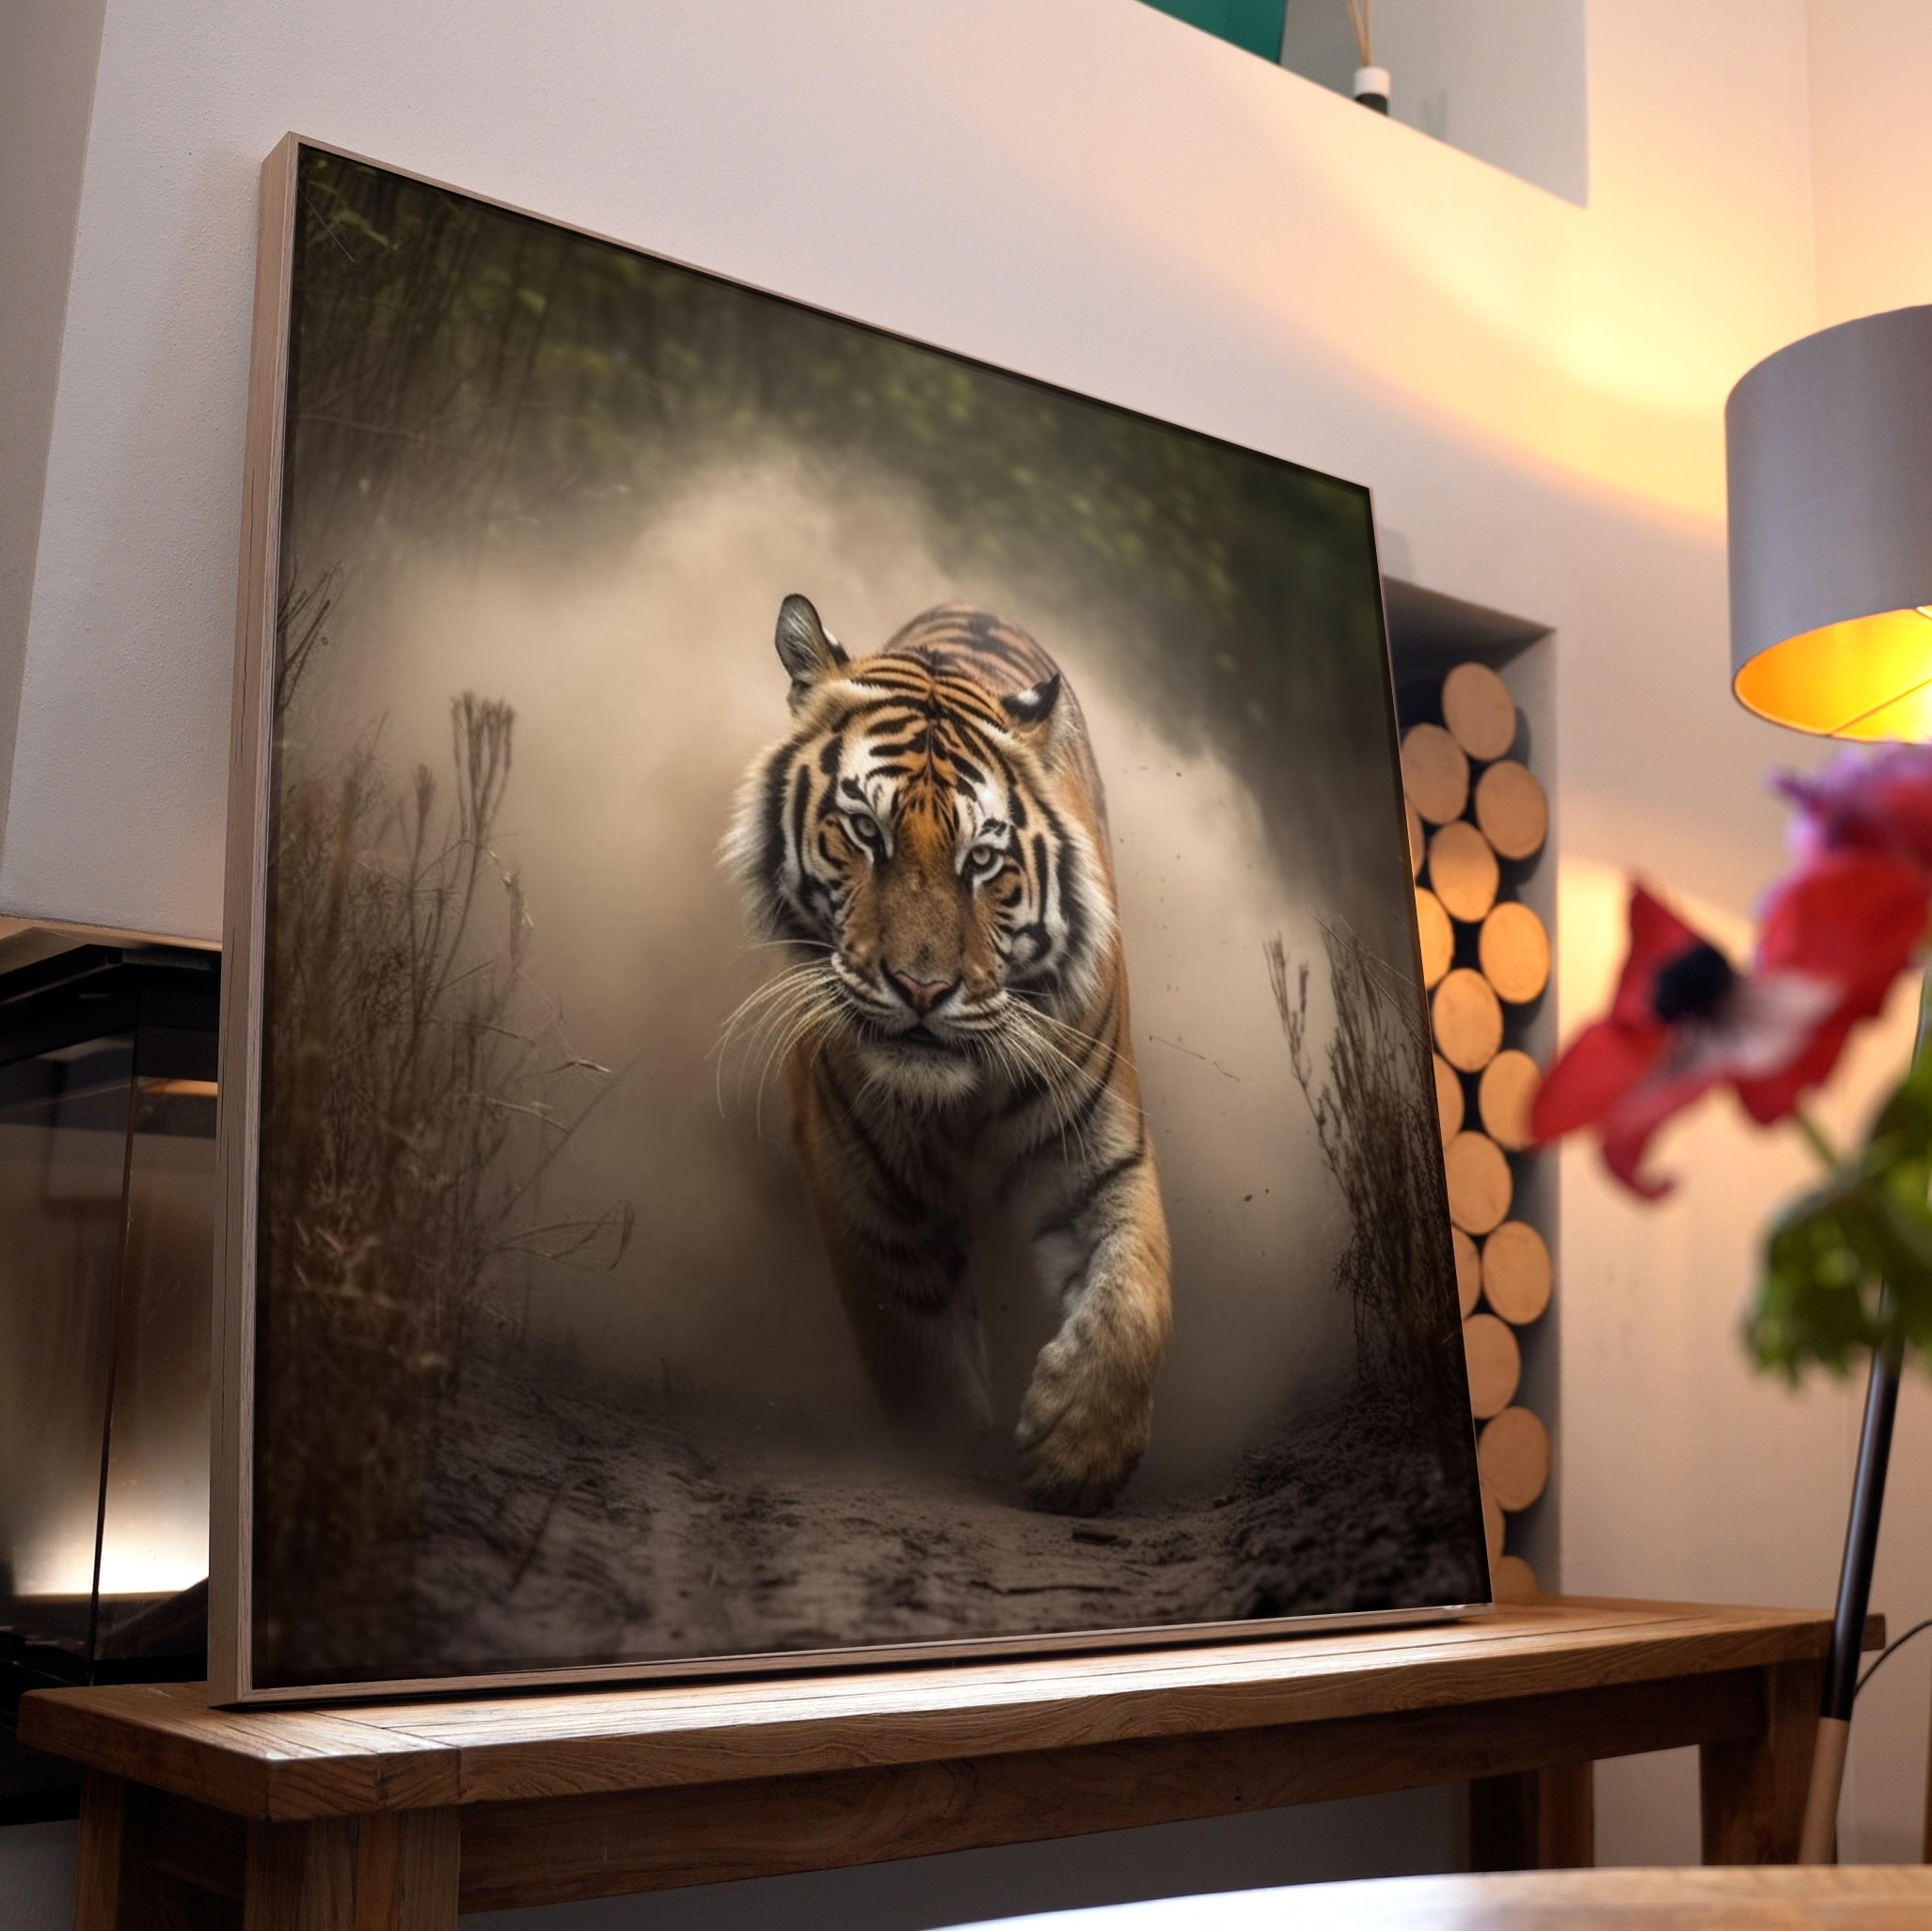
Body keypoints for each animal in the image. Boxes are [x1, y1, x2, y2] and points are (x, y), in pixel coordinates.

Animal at [722, 595, 1172, 1514]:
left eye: (984, 859)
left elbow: (1139, 1290)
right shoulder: (865, 1179)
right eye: (865, 831)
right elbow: (915, 1352)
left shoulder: (1099, 1148)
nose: (922, 989)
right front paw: (946, 1460)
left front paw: (1079, 1452)